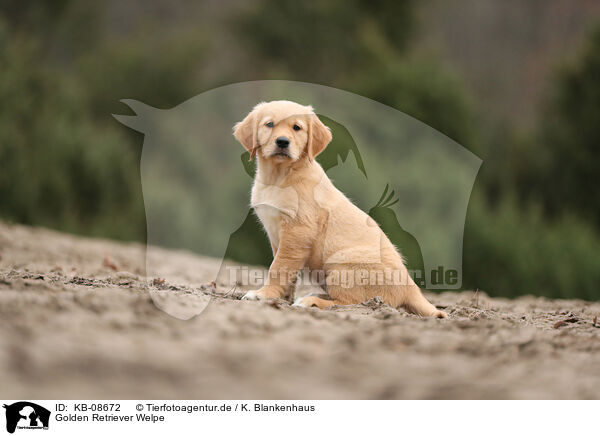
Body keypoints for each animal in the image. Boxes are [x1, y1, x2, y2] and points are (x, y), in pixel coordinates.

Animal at [232, 100, 448, 316]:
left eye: (297, 127)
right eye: (269, 124)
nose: (283, 142)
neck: (279, 177)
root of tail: (410, 287)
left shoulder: (297, 230)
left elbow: (278, 267)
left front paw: (263, 294)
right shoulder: (277, 235)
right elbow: (286, 269)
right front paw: (281, 297)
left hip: (342, 263)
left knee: (349, 302)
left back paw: (311, 301)